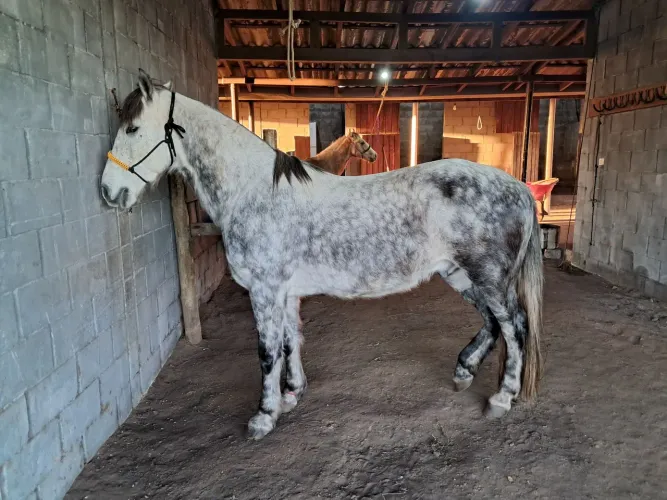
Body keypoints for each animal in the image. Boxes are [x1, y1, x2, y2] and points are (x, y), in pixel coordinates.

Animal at [101, 71, 544, 440]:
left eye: (133, 127)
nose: (108, 191)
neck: (254, 190)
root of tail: (518, 188)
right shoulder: (285, 291)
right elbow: (290, 340)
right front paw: (292, 393)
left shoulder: (264, 290)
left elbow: (267, 351)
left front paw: (264, 416)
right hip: (462, 275)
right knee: (493, 323)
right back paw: (464, 371)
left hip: (488, 278)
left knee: (515, 327)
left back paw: (501, 398)